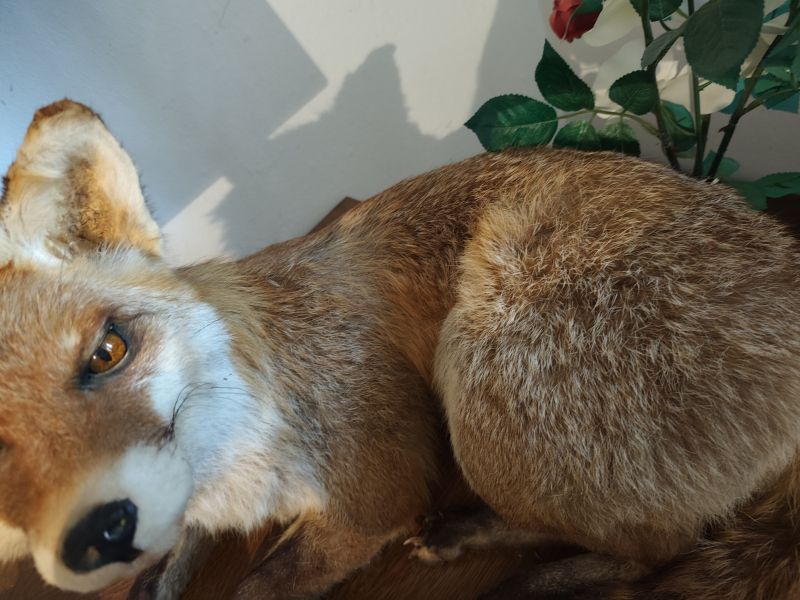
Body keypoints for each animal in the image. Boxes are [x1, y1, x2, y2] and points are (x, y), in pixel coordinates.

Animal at [1, 98, 800, 600]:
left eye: (107, 352)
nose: (96, 535)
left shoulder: (372, 490)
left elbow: (261, 582)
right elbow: (167, 567)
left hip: (481, 377)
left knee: (660, 552)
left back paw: (494, 555)